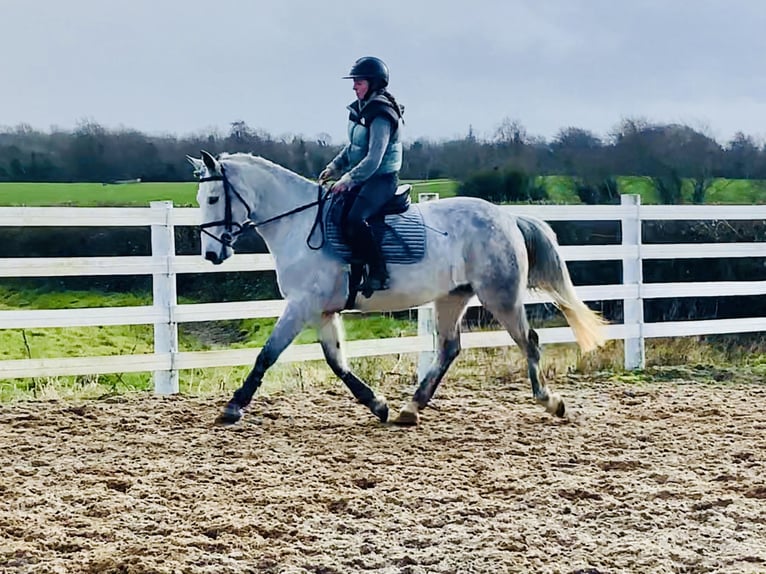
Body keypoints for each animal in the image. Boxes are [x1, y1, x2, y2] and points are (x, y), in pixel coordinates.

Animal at [187, 151, 606, 426]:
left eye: (213, 198)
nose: (211, 253)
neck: (299, 223)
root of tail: (506, 216)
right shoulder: (321, 311)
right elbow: (337, 362)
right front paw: (378, 404)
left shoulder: (301, 306)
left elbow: (267, 355)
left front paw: (233, 406)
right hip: (453, 297)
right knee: (449, 348)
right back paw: (410, 409)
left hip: (500, 296)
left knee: (529, 341)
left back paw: (550, 402)